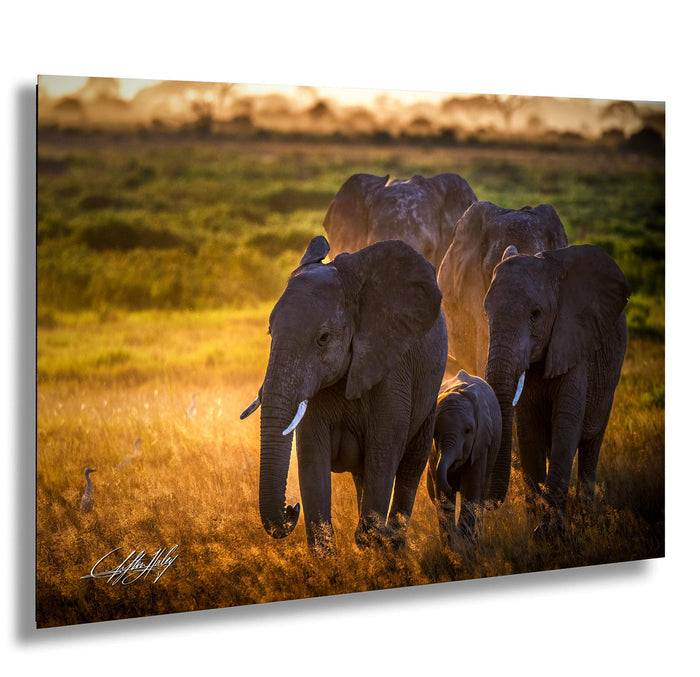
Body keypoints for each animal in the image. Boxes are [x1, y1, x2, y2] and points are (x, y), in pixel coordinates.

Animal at [240, 235, 448, 552]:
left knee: (411, 465)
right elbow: (312, 455)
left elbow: (384, 448)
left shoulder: (392, 365)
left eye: (323, 339)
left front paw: (373, 541)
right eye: (270, 333)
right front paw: (328, 556)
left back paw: (395, 542)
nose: (291, 508)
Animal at [426, 370, 501, 555]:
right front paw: (451, 548)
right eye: (435, 434)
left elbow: (470, 491)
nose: (451, 486)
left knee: (480, 496)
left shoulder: (481, 442)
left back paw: (477, 542)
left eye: (468, 431)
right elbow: (444, 500)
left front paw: (464, 549)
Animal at [483, 244, 631, 536]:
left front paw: (553, 534)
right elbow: (528, 430)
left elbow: (567, 423)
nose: (489, 504)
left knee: (590, 447)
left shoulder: (576, 342)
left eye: (535, 314)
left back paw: (588, 521)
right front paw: (537, 529)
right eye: (486, 313)